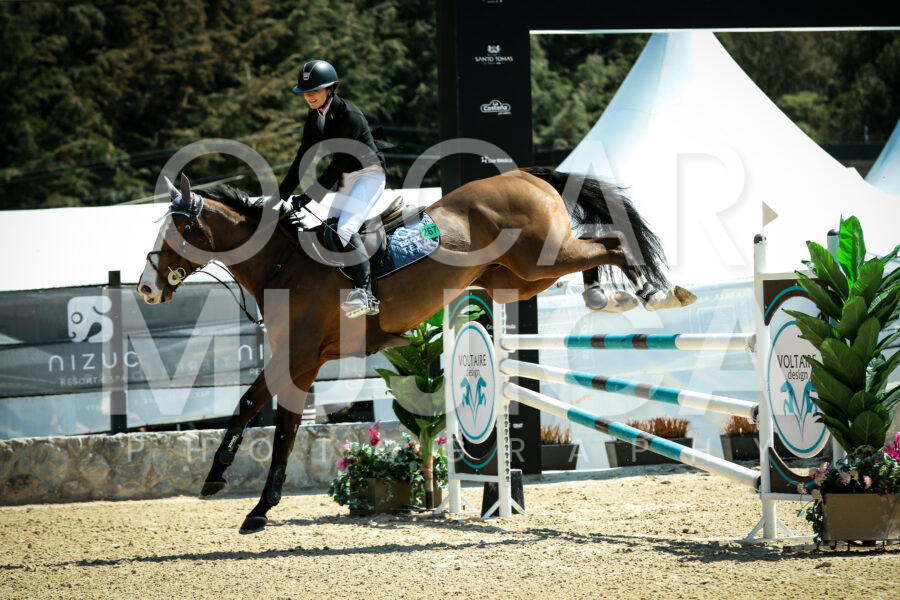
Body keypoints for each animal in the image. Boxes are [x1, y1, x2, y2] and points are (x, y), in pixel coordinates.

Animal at [137, 166, 695, 533]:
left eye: (178, 230)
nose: (145, 289)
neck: (284, 266)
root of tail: (525, 174)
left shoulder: (295, 359)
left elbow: (251, 408)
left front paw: (221, 484)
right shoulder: (304, 365)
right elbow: (280, 429)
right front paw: (254, 505)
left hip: (544, 254)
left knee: (613, 242)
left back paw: (654, 292)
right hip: (520, 276)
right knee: (596, 250)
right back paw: (608, 295)